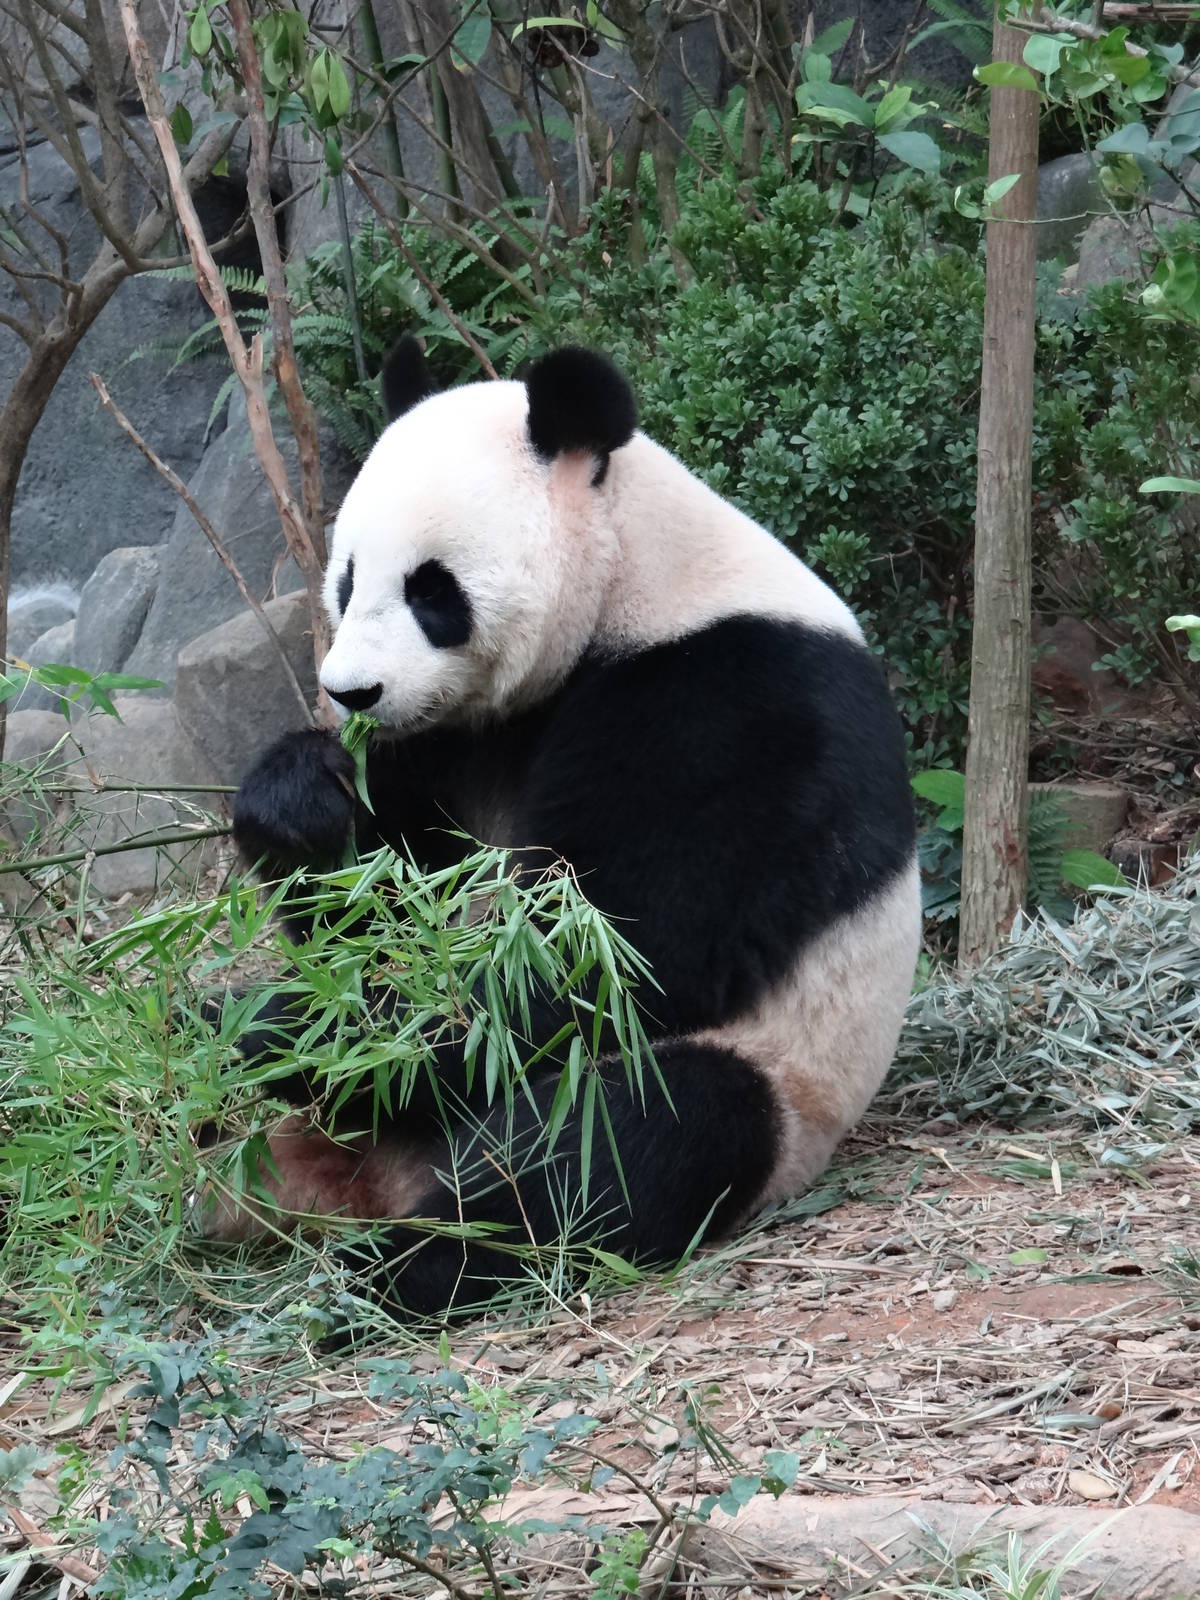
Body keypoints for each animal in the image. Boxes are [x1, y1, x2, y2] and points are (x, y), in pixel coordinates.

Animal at [209, 339, 921, 1324]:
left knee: (622, 1135)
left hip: (790, 1082)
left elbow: (606, 956)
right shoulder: (451, 740)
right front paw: (302, 801)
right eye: (347, 580)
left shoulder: (737, 703)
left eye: (431, 590)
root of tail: (380, 1184)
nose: (352, 692)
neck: (635, 581)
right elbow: (388, 910)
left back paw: (406, 1266)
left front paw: (285, 1030)